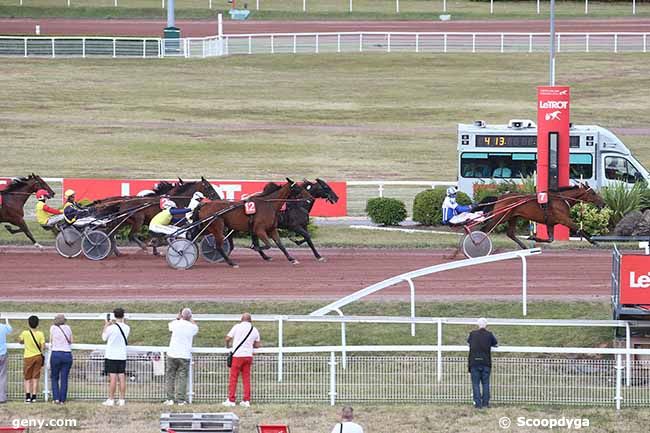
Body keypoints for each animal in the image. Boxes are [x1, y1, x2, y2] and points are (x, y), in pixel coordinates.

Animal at [476, 183, 604, 250]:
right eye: (593, 193)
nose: (603, 203)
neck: (561, 200)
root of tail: (499, 197)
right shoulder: (564, 219)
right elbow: (579, 229)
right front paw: (594, 242)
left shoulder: (550, 223)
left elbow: (550, 239)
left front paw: (533, 237)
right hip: (500, 217)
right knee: (484, 229)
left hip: (513, 217)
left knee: (510, 233)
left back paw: (524, 246)